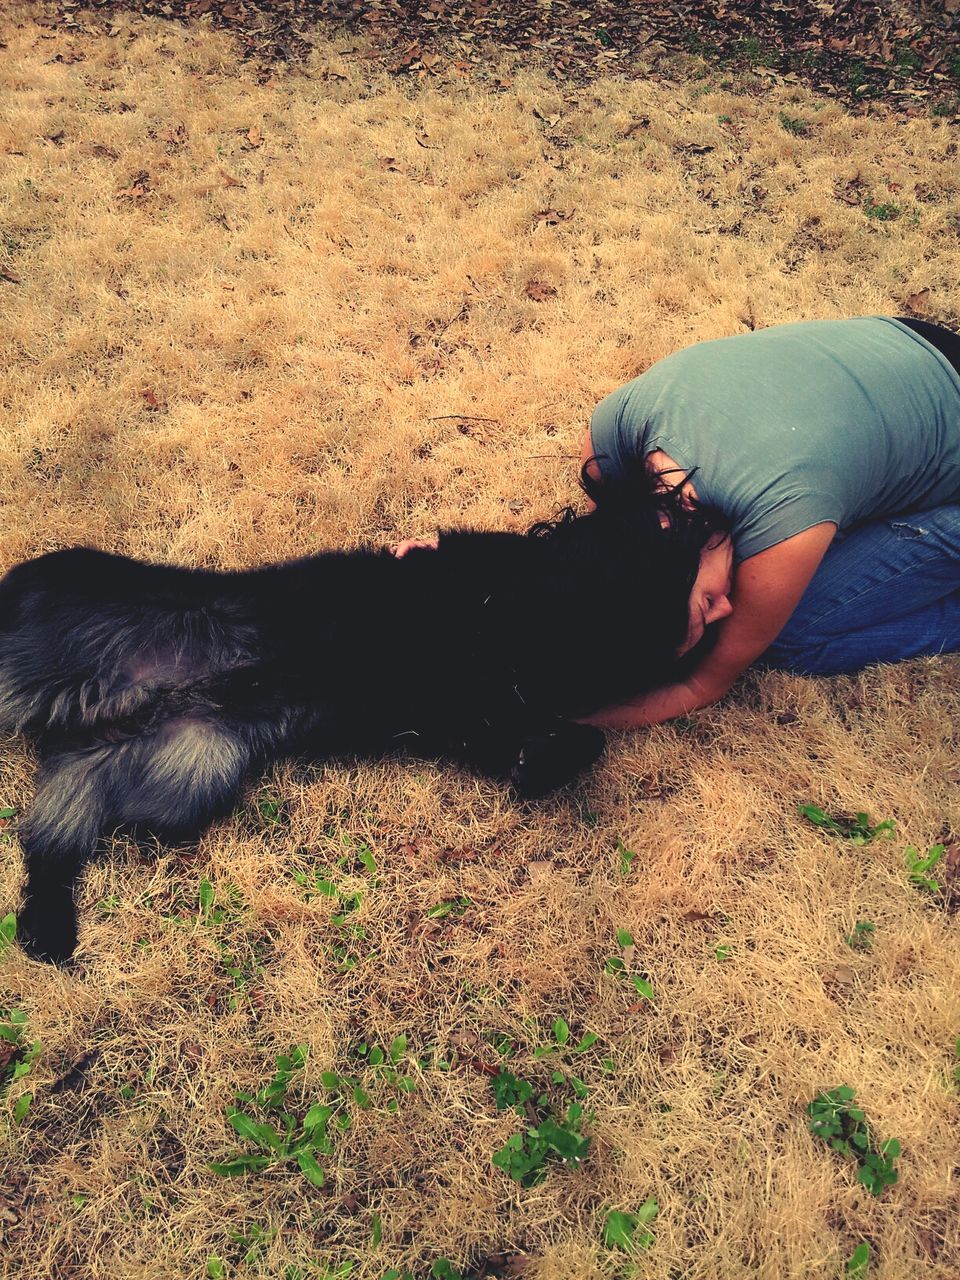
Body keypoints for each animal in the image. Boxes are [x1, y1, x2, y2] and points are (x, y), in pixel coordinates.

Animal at [0, 494, 691, 962]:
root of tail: (95, 711)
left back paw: (46, 929)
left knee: (52, 848)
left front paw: (544, 762)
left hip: (177, 780)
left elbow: (564, 739)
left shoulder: (477, 716)